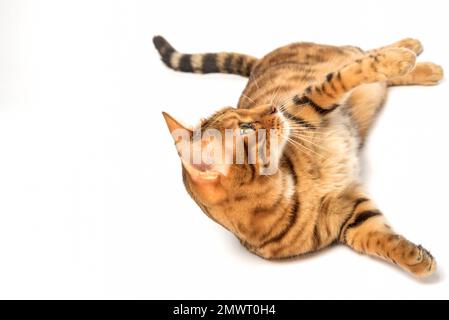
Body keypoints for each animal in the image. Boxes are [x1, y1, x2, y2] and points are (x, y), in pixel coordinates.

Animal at [153, 35, 440, 278]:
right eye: (245, 128)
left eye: (240, 110)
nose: (272, 107)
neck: (284, 187)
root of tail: (260, 61)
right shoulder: (347, 213)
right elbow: (378, 237)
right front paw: (415, 258)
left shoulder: (305, 104)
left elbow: (348, 74)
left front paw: (397, 59)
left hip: (335, 57)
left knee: (361, 53)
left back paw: (411, 50)